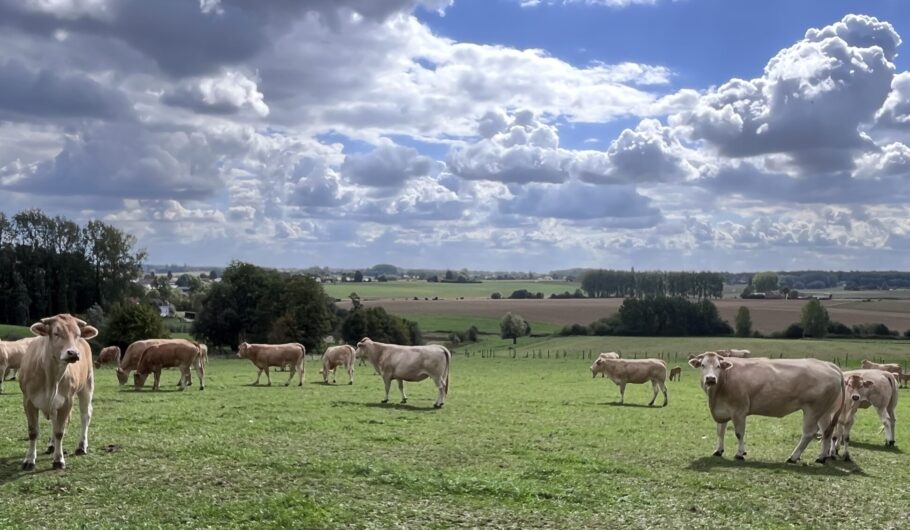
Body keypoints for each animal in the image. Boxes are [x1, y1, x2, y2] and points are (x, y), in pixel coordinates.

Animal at [19, 314, 97, 471]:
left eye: (78, 334)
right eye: (56, 333)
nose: (73, 353)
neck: (51, 377)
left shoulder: (67, 401)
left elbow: (60, 431)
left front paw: (58, 459)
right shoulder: (28, 401)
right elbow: (33, 431)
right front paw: (29, 459)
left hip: (87, 385)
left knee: (85, 415)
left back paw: (81, 446)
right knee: (55, 421)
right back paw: (52, 445)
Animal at [688, 352, 844, 464]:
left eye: (718, 366)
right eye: (703, 365)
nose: (710, 379)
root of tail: (828, 364)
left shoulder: (739, 411)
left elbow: (739, 433)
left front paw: (740, 453)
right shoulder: (722, 410)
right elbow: (720, 432)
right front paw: (718, 450)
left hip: (813, 410)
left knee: (809, 433)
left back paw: (793, 457)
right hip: (824, 412)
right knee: (827, 432)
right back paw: (821, 457)